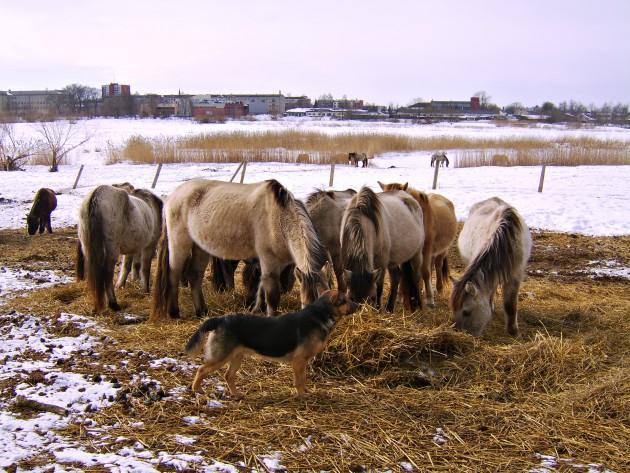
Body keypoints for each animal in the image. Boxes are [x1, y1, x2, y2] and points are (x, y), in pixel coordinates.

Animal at [76, 185, 163, 314]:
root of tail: (96, 194)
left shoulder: (132, 248)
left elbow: (127, 267)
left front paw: (120, 285)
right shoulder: (149, 246)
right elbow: (145, 269)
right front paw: (145, 289)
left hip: (89, 249)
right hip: (112, 251)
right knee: (107, 275)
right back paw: (113, 304)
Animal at [148, 178, 326, 320]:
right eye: (305, 305)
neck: (280, 218)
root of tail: (173, 196)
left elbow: (261, 287)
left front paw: (256, 309)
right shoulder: (269, 261)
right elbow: (272, 294)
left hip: (200, 248)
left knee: (195, 275)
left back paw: (202, 311)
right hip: (180, 243)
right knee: (174, 274)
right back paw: (174, 313)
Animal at [185, 290, 358, 396]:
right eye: (345, 300)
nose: (359, 304)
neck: (320, 315)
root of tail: (220, 319)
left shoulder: (303, 362)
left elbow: (303, 379)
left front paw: (307, 391)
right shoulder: (299, 361)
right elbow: (299, 380)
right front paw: (302, 395)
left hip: (237, 357)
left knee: (228, 376)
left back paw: (236, 394)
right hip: (221, 357)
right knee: (201, 370)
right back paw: (196, 390)